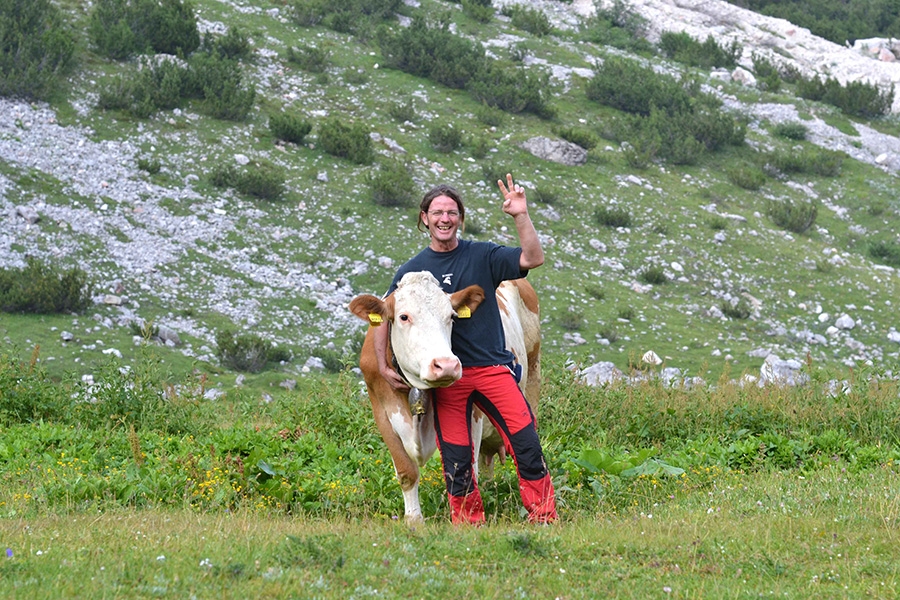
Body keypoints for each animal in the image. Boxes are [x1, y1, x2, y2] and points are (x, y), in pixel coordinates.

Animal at [348, 270, 536, 524]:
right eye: (404, 316)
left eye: (451, 317)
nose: (445, 365)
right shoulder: (381, 408)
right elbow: (406, 471)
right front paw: (414, 519)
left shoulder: (473, 411)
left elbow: (467, 468)